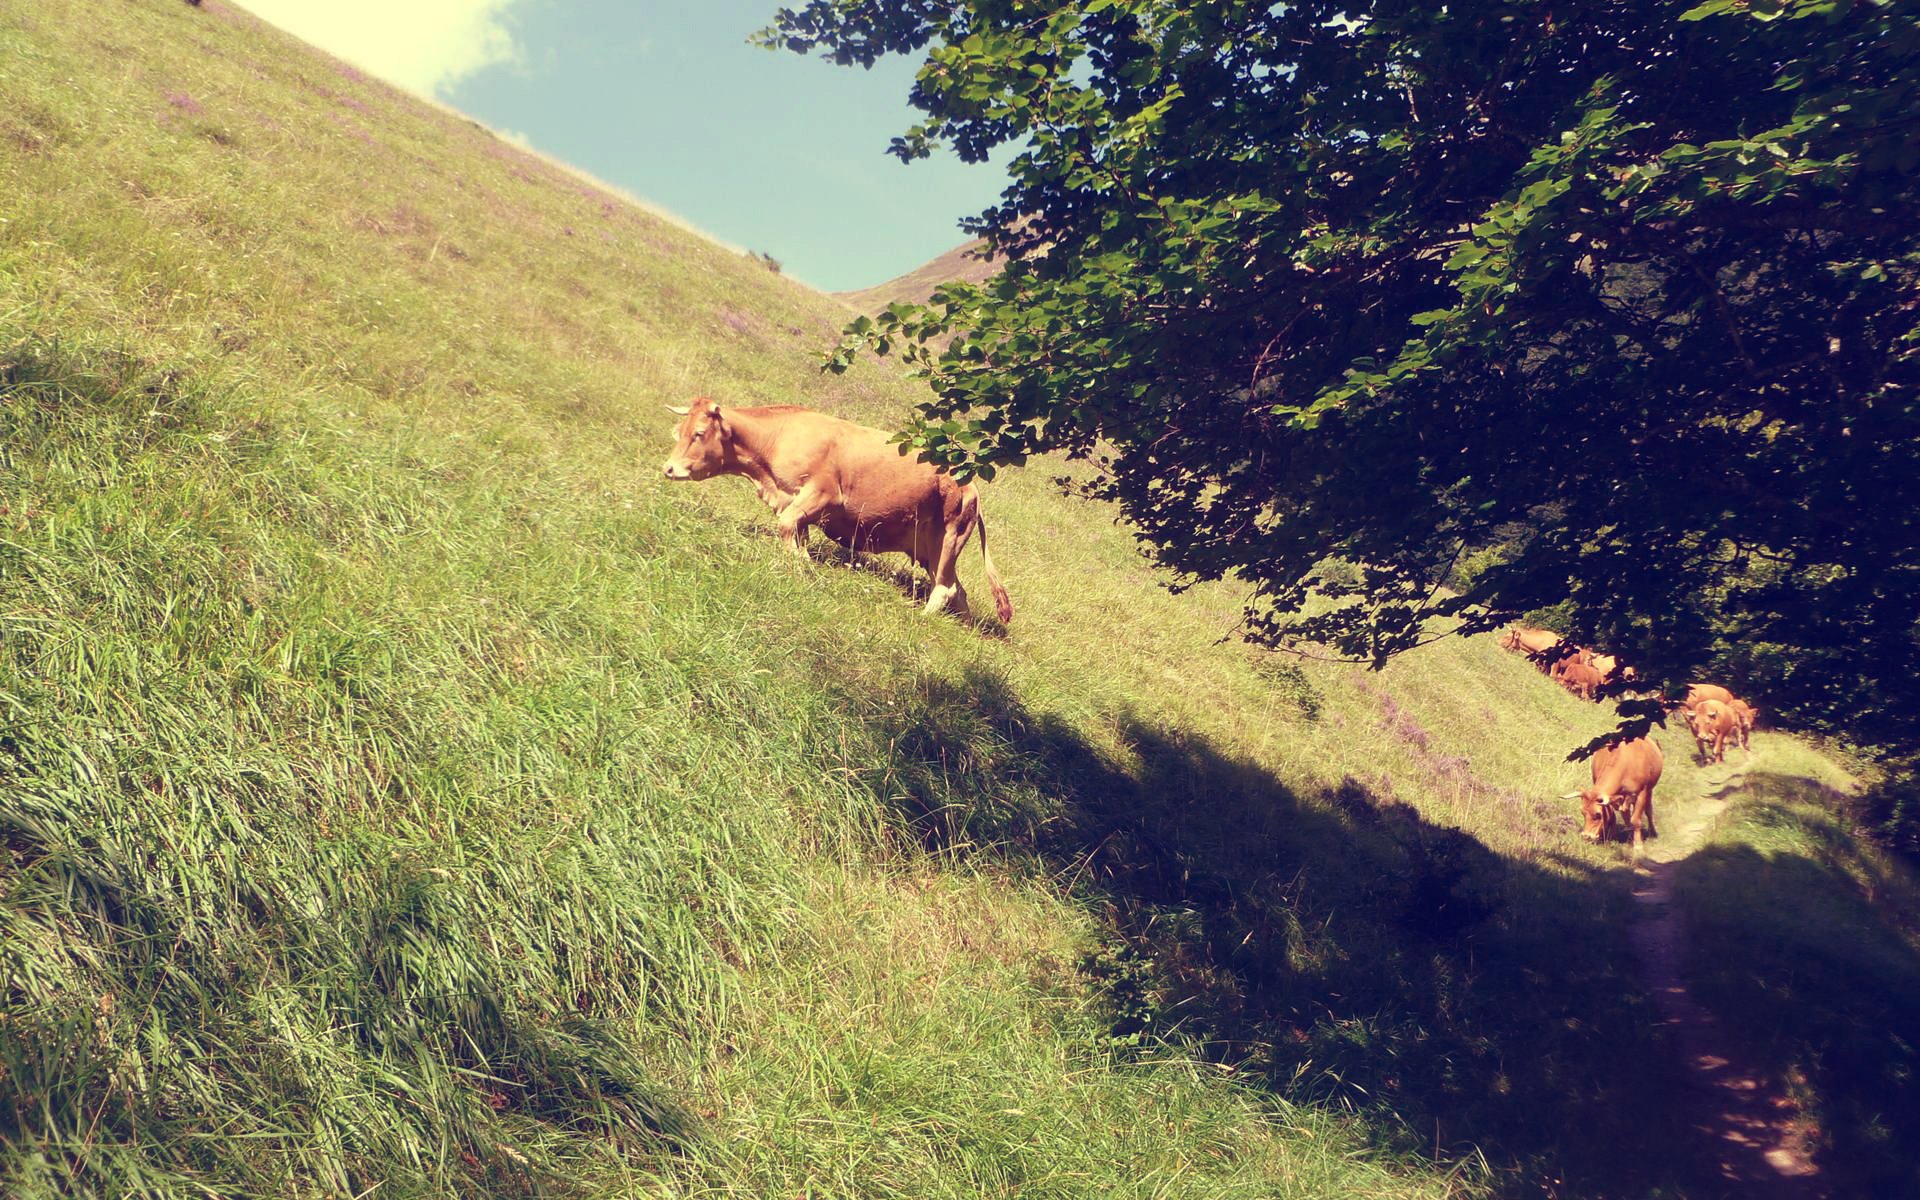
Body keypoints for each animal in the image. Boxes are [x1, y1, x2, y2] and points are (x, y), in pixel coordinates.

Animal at [660, 397, 1013, 622]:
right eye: (677, 432)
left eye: (699, 433)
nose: (669, 469)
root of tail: (970, 482)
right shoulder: (797, 503)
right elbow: (795, 532)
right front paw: (800, 562)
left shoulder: (824, 494)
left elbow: (787, 525)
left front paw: (803, 567)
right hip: (932, 549)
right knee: (959, 592)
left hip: (949, 537)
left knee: (945, 589)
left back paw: (924, 619)